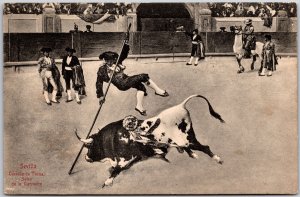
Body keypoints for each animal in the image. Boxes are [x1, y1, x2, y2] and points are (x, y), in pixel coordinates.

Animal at [76, 94, 224, 188]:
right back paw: (192, 154)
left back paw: (217, 159)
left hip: (188, 139)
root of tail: (181, 106)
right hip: (185, 140)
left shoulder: (127, 159)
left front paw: (107, 182)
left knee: (205, 147)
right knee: (192, 148)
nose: (86, 157)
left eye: (90, 146)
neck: (114, 138)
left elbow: (116, 170)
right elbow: (113, 169)